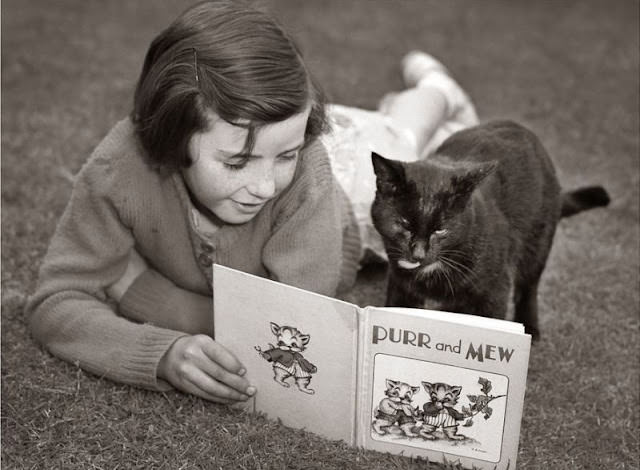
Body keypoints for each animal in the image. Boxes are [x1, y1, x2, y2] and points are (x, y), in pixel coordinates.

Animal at [370, 119, 608, 340]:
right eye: (404, 224)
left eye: (440, 230)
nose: (418, 253)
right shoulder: (400, 285)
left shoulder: (494, 290)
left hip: (538, 239)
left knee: (528, 286)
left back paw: (530, 327)